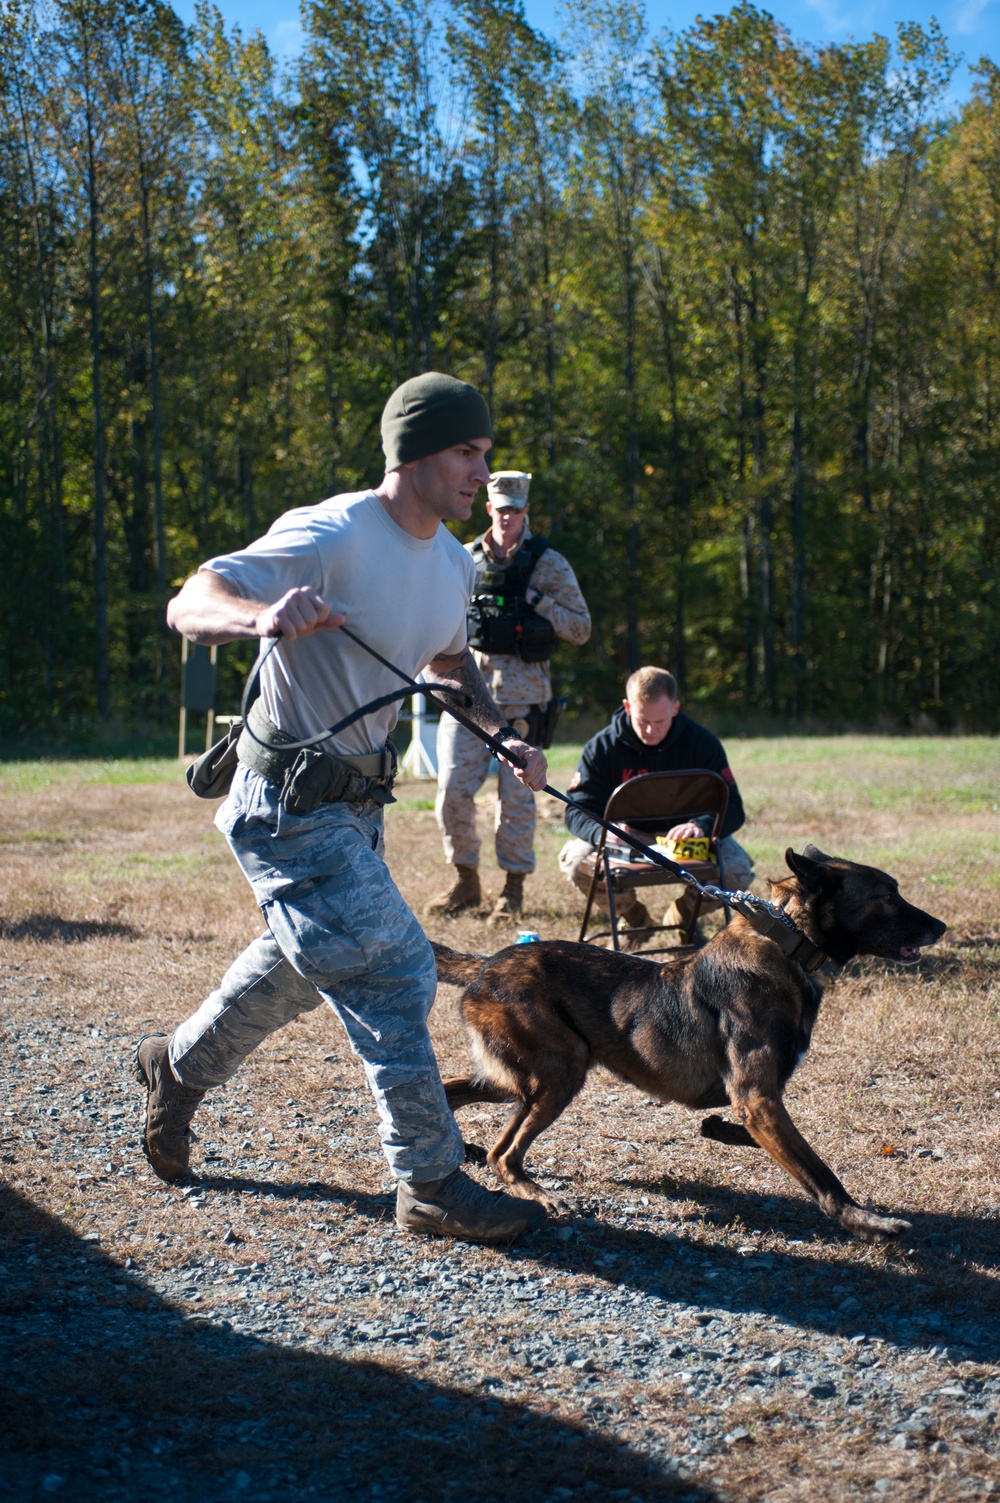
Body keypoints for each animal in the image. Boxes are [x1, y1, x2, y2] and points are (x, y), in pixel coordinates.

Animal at [430, 847, 944, 1244]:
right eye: (886, 896)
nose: (939, 927)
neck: (787, 945)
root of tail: (485, 965)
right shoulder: (758, 1099)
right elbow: (819, 1172)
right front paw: (867, 1223)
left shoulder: (758, 1103)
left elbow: (757, 1135)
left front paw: (716, 1128)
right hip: (559, 1071)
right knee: (504, 1153)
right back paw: (533, 1191)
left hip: (519, 1079)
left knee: (455, 1090)